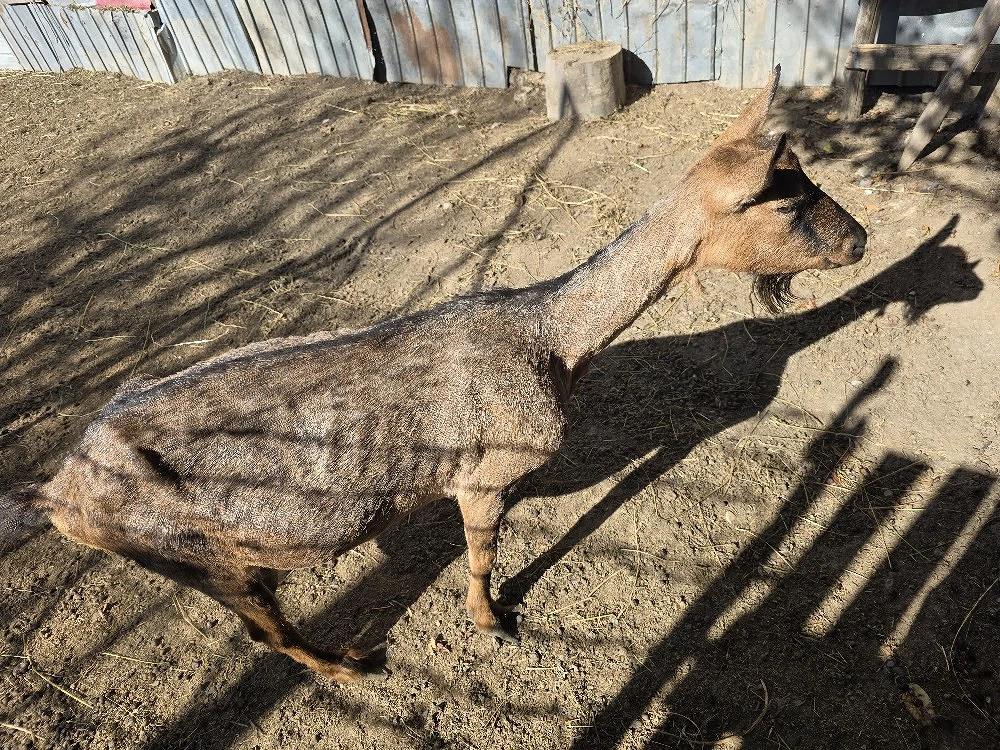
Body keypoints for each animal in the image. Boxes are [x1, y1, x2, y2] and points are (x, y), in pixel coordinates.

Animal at [1, 67, 865, 682]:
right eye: (785, 203)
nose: (858, 238)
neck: (551, 340)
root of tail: (56, 493)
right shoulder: (485, 471)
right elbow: (481, 557)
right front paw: (493, 622)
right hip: (191, 553)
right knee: (261, 629)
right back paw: (350, 666)